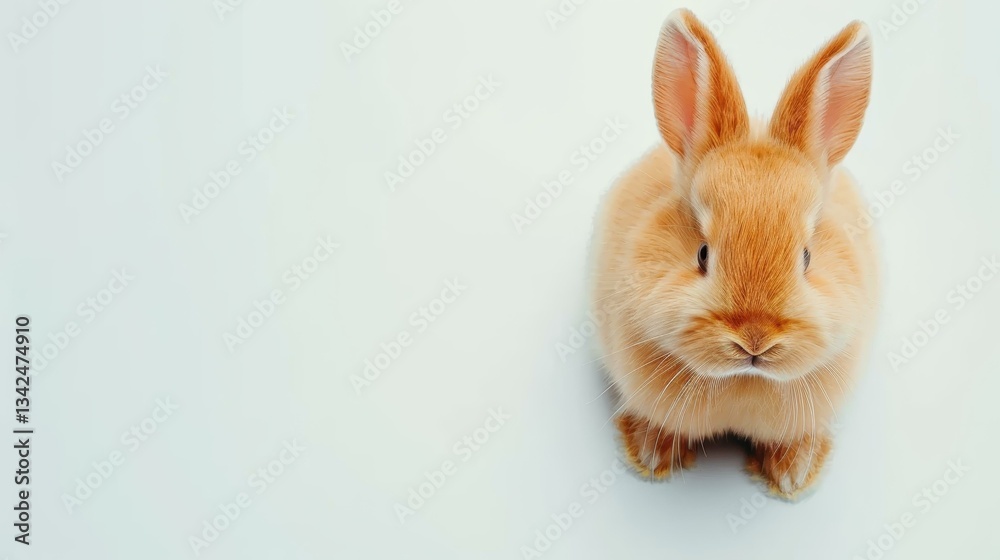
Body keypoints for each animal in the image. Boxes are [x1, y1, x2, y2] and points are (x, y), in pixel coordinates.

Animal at [590, 9, 878, 499]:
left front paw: (793, 474)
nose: (754, 339)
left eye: (806, 257)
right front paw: (652, 454)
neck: (743, 381)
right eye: (703, 254)